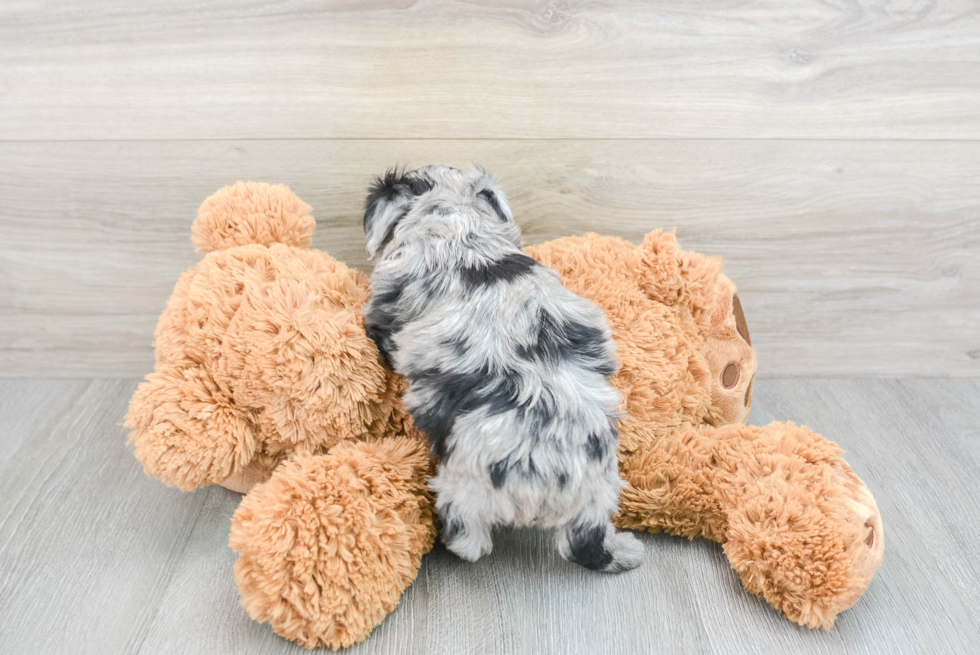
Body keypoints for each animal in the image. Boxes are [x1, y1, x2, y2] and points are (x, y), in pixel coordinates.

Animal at [360, 165, 644, 576]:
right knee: (589, 546)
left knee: (471, 541)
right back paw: (628, 550)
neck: (457, 217)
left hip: (464, 486)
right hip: (600, 494)